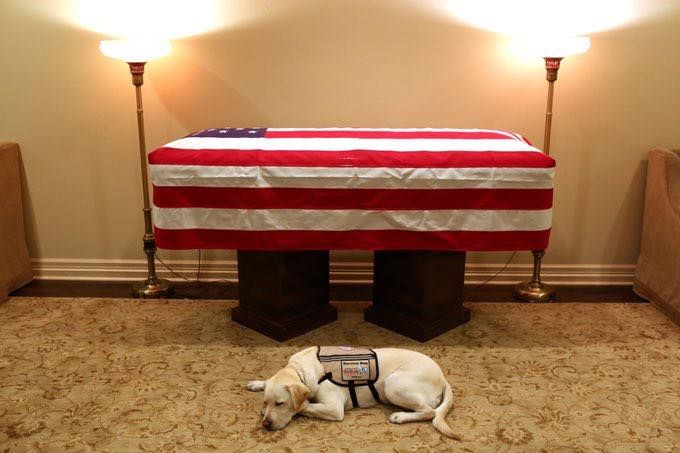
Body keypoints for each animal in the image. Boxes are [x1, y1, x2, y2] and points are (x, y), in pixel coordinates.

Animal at [246, 346, 462, 438]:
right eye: (266, 402)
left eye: (280, 403)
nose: (265, 424)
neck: (300, 369)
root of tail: (443, 377)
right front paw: (258, 384)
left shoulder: (334, 409)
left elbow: (305, 406)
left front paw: (302, 404)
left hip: (393, 384)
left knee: (430, 412)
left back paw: (400, 416)